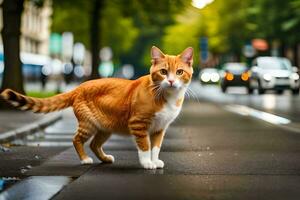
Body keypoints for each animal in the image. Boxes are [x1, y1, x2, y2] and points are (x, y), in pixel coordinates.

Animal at [1, 46, 193, 170]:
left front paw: (155, 160)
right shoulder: (138, 124)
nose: (171, 81)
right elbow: (145, 145)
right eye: (163, 72)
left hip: (106, 127)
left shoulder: (160, 128)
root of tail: (79, 87)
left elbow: (156, 147)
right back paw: (85, 159)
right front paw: (147, 163)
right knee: (76, 139)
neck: (167, 96)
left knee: (94, 144)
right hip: (88, 124)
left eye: (179, 72)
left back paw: (105, 158)